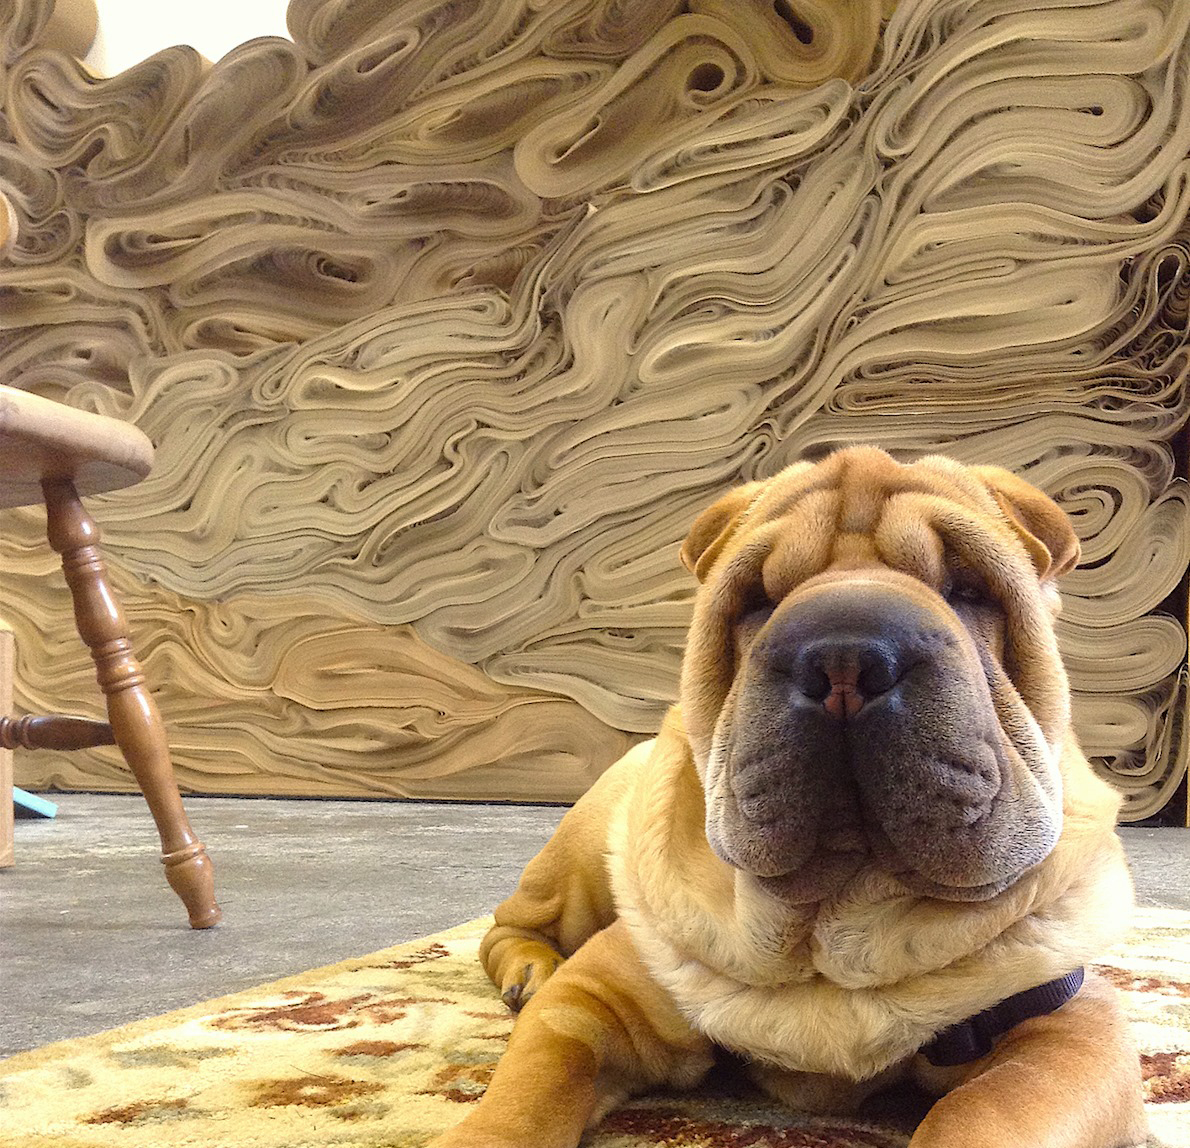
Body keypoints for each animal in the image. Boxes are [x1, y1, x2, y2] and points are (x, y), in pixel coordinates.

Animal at [428, 444, 1142, 1146]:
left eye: (967, 588)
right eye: (757, 600)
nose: (845, 657)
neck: (832, 928)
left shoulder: (1069, 1028)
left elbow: (984, 1112)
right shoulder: (596, 997)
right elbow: (527, 1091)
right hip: (579, 860)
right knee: (512, 927)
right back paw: (528, 971)